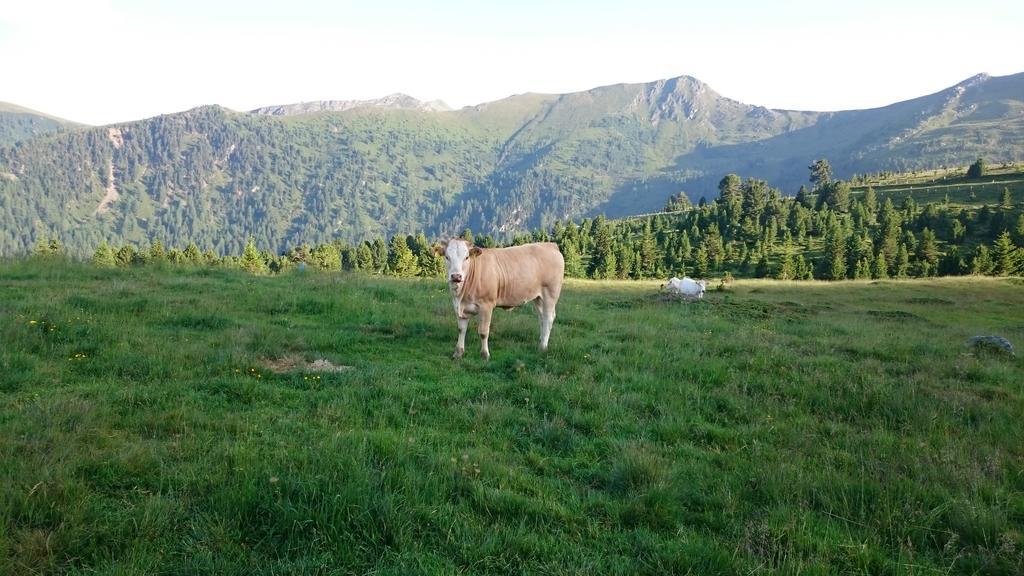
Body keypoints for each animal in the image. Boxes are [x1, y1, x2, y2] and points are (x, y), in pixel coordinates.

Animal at [434, 238, 565, 358]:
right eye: (447, 257)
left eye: (466, 257)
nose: (456, 276)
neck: (461, 295)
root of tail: (550, 245)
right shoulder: (460, 307)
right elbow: (461, 329)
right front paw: (458, 353)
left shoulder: (486, 305)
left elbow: (483, 331)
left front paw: (485, 354)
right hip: (538, 297)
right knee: (542, 318)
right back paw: (541, 341)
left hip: (550, 293)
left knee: (548, 318)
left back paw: (543, 347)